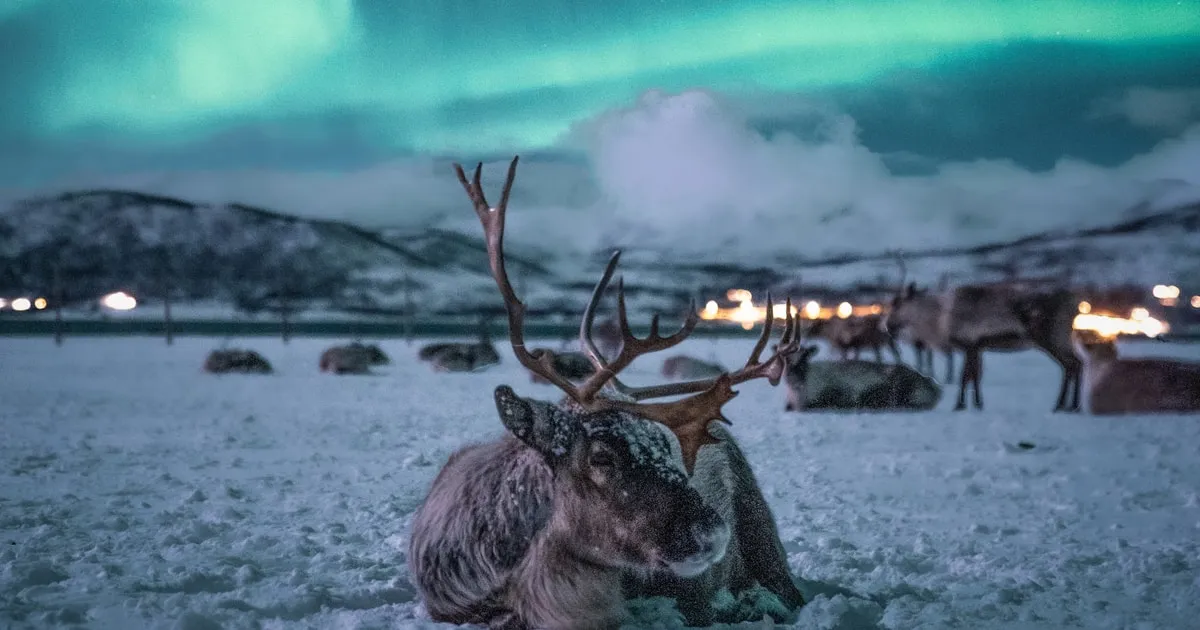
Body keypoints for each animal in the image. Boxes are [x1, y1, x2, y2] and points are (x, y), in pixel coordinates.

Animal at [885, 257, 1081, 412]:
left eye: (897, 303)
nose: (888, 326)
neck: (939, 319)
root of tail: (1074, 305)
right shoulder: (977, 346)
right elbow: (975, 376)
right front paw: (978, 404)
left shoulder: (968, 344)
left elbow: (965, 376)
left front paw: (960, 405)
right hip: (1060, 339)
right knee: (1076, 363)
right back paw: (1071, 406)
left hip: (1050, 338)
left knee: (1070, 364)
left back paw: (1062, 405)